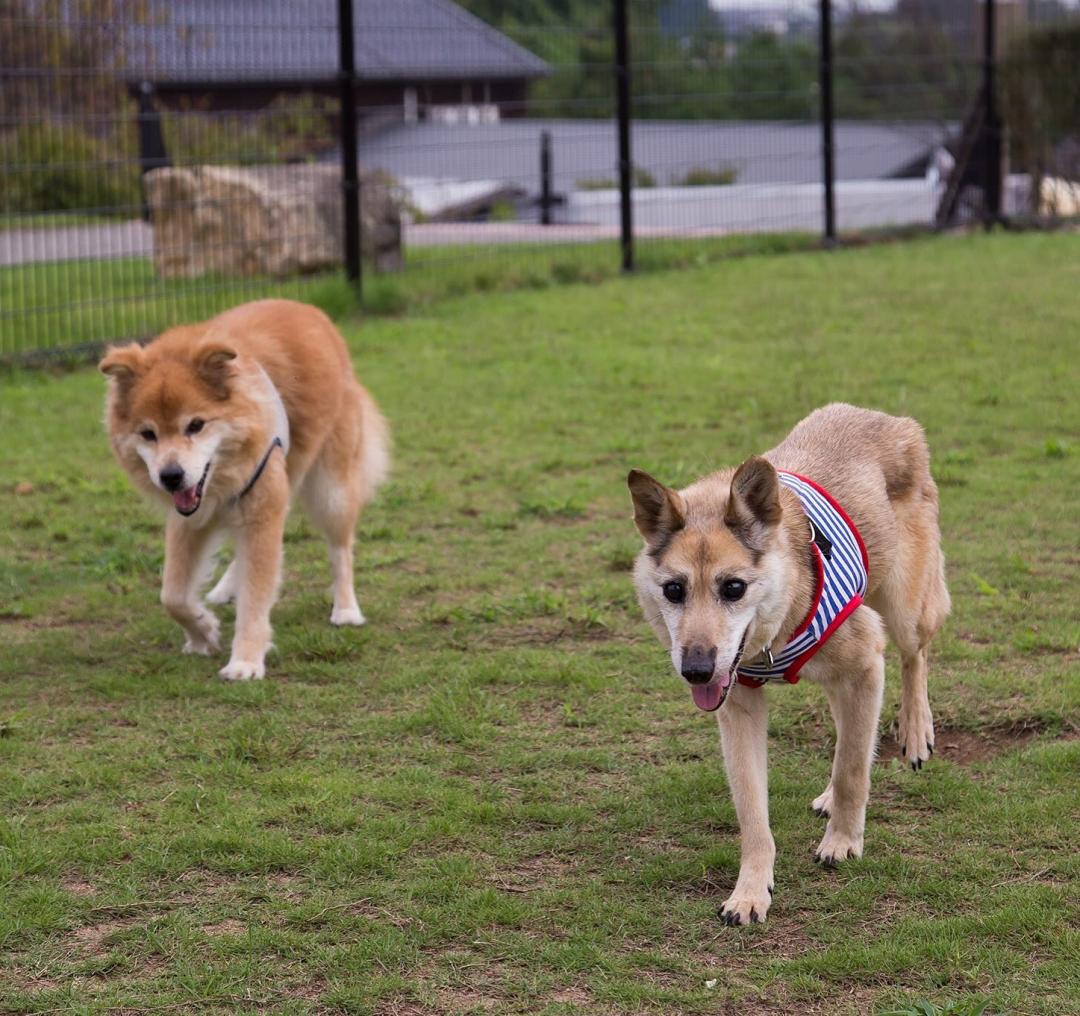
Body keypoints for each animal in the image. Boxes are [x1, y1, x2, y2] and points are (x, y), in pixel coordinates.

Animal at [99, 297, 390, 678]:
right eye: (148, 434)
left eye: (196, 425)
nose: (171, 476)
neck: (221, 481)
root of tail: (310, 309)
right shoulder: (189, 518)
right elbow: (173, 595)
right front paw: (204, 632)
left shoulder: (261, 510)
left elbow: (256, 595)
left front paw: (245, 661)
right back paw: (225, 590)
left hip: (331, 493)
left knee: (340, 550)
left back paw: (346, 609)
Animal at [630, 401, 950, 919]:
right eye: (673, 590)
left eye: (733, 587)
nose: (695, 671)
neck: (774, 633)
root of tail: (884, 416)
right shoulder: (739, 705)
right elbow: (753, 811)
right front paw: (750, 890)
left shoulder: (866, 661)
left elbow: (852, 769)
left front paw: (842, 842)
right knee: (850, 728)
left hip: (902, 612)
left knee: (913, 658)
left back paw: (917, 732)